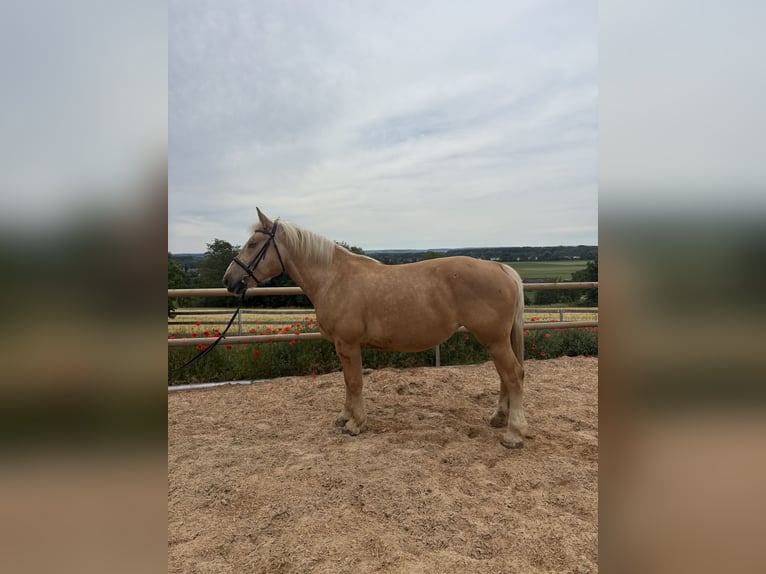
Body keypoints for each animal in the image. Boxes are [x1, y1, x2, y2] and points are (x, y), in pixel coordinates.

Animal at [222, 208, 528, 448]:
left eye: (253, 244)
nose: (229, 280)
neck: (333, 278)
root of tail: (500, 268)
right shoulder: (342, 346)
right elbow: (347, 381)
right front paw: (345, 417)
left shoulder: (349, 344)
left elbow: (356, 381)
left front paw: (356, 424)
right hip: (495, 340)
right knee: (504, 376)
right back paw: (499, 419)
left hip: (494, 340)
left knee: (513, 375)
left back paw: (513, 434)